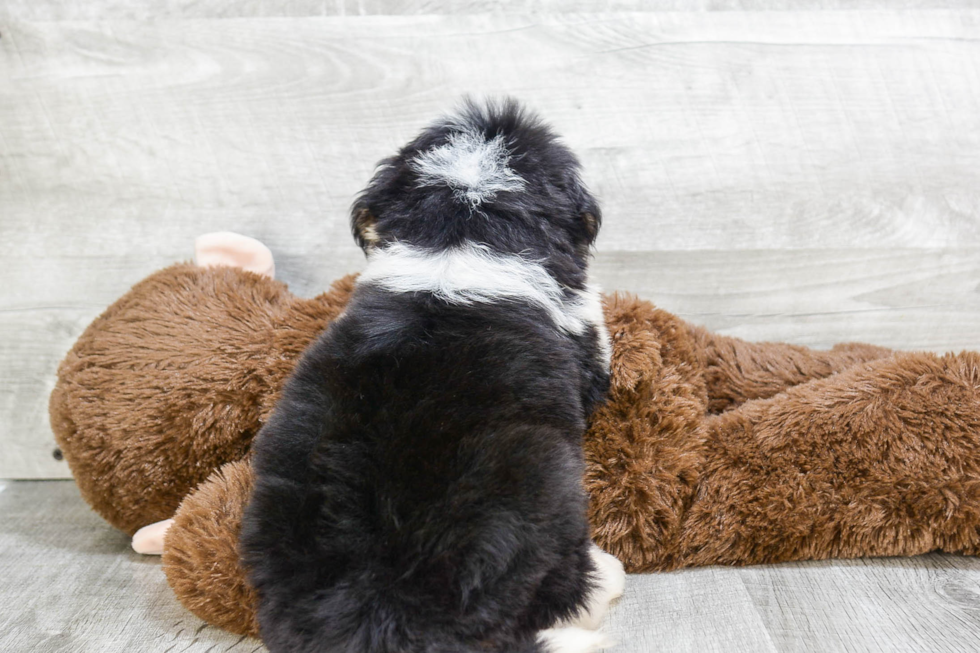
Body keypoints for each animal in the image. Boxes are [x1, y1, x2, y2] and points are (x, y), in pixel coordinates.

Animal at [243, 98, 628, 652]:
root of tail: (382, 606)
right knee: (563, 586)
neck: (460, 235)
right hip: (550, 488)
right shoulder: (586, 345)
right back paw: (605, 584)